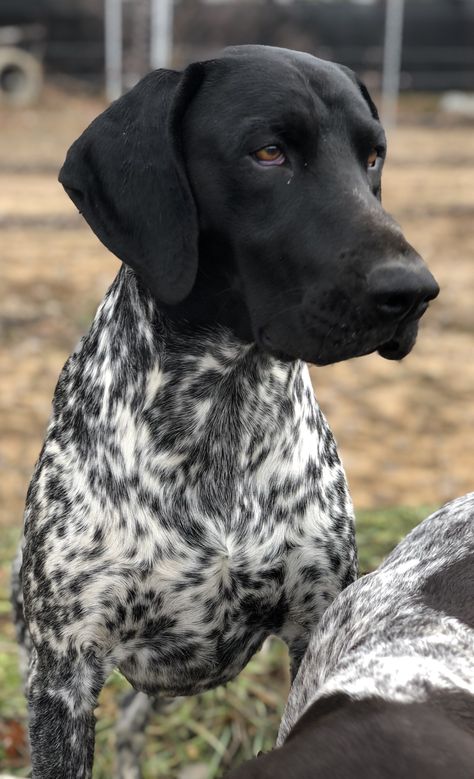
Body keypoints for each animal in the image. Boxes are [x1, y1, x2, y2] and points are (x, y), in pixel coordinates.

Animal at [12, 45, 440, 776]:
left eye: (374, 157)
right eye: (268, 153)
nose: (415, 291)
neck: (221, 410)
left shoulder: (315, 625)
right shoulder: (63, 676)